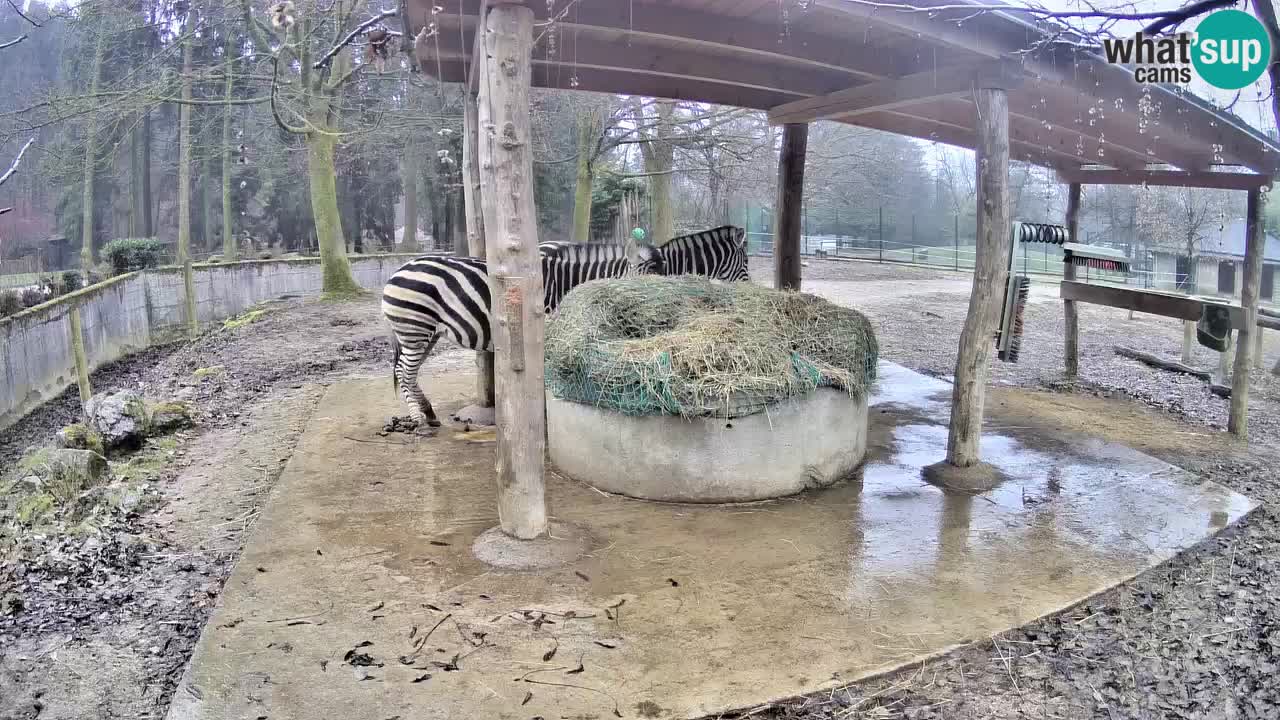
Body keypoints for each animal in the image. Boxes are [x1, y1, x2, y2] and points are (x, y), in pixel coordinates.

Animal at [376, 240, 660, 430]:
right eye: (643, 287)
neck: (567, 286)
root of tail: (398, 270)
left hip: (424, 333)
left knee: (409, 372)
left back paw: (429, 413)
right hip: (414, 328)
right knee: (404, 372)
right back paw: (418, 419)